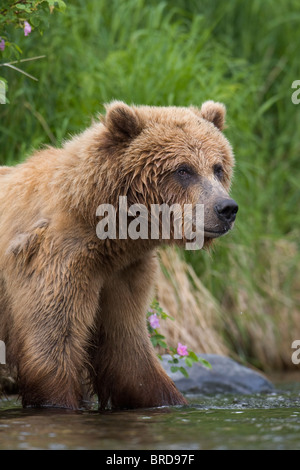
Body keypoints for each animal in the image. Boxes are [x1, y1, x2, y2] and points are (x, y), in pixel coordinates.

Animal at [0, 101, 237, 410]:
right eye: (183, 170)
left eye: (217, 168)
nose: (226, 208)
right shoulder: (57, 258)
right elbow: (53, 343)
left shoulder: (123, 273)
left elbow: (128, 352)